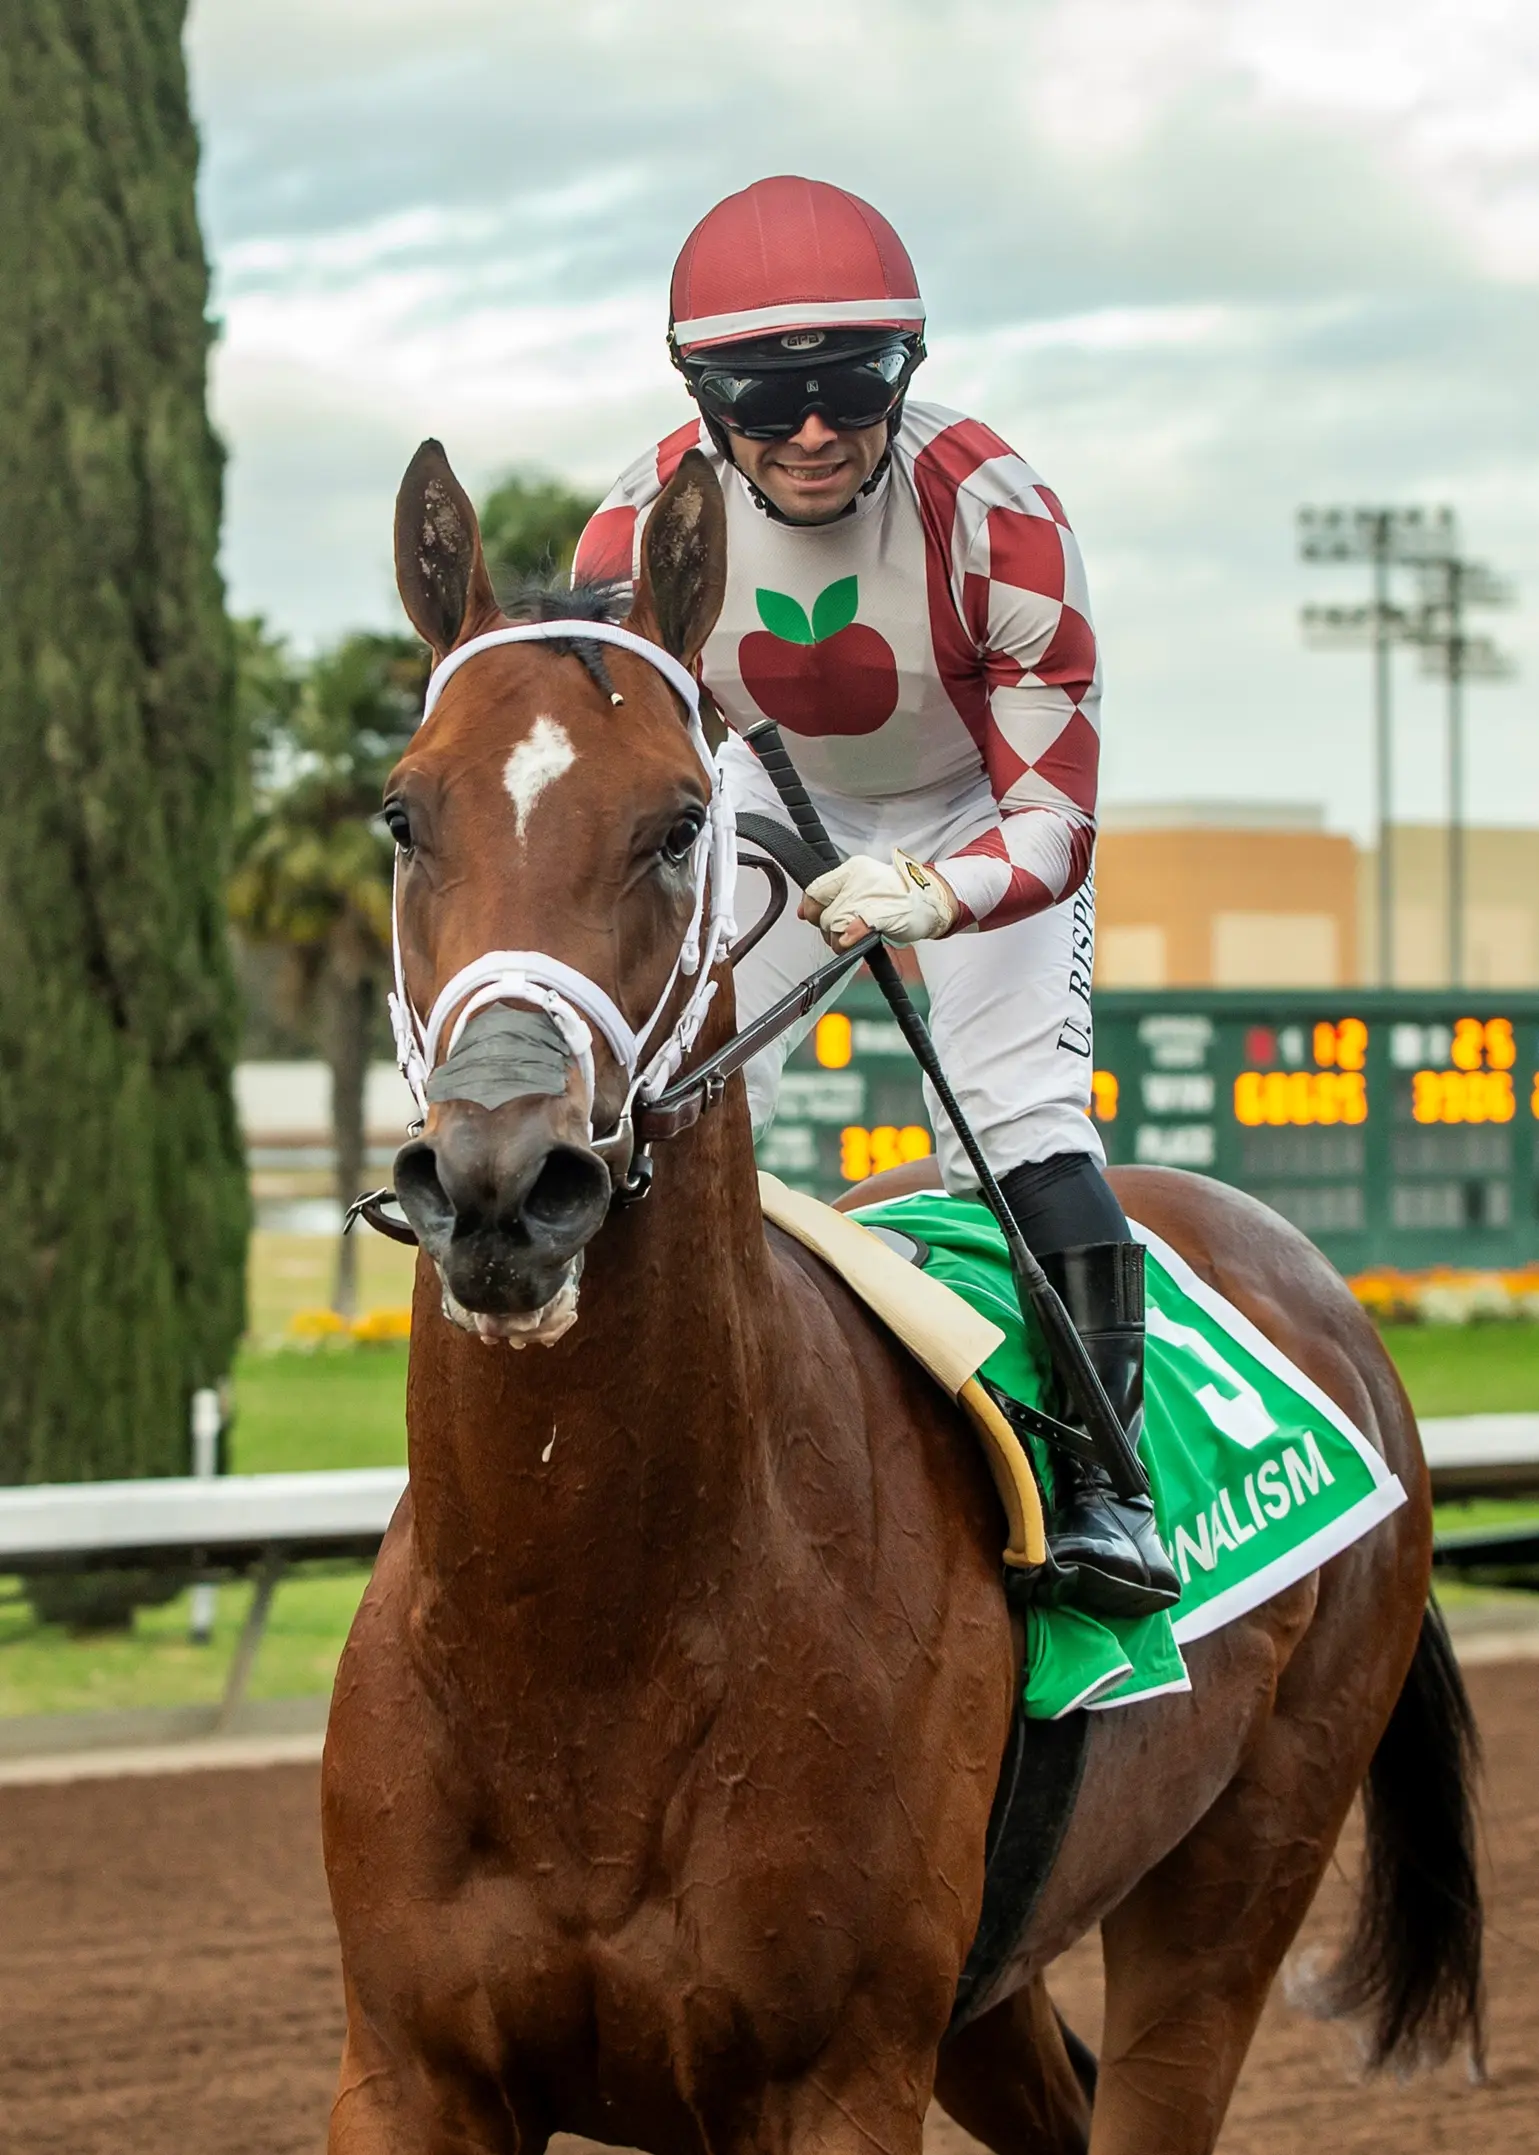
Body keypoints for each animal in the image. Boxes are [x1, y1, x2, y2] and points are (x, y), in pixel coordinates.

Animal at [320, 438, 1482, 2155]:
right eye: (404, 813)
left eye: (678, 825)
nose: (501, 1183)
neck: (580, 1639)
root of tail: (1318, 1287)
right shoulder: (409, 2068)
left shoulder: (834, 2073)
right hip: (986, 1996)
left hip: (1237, 1867)